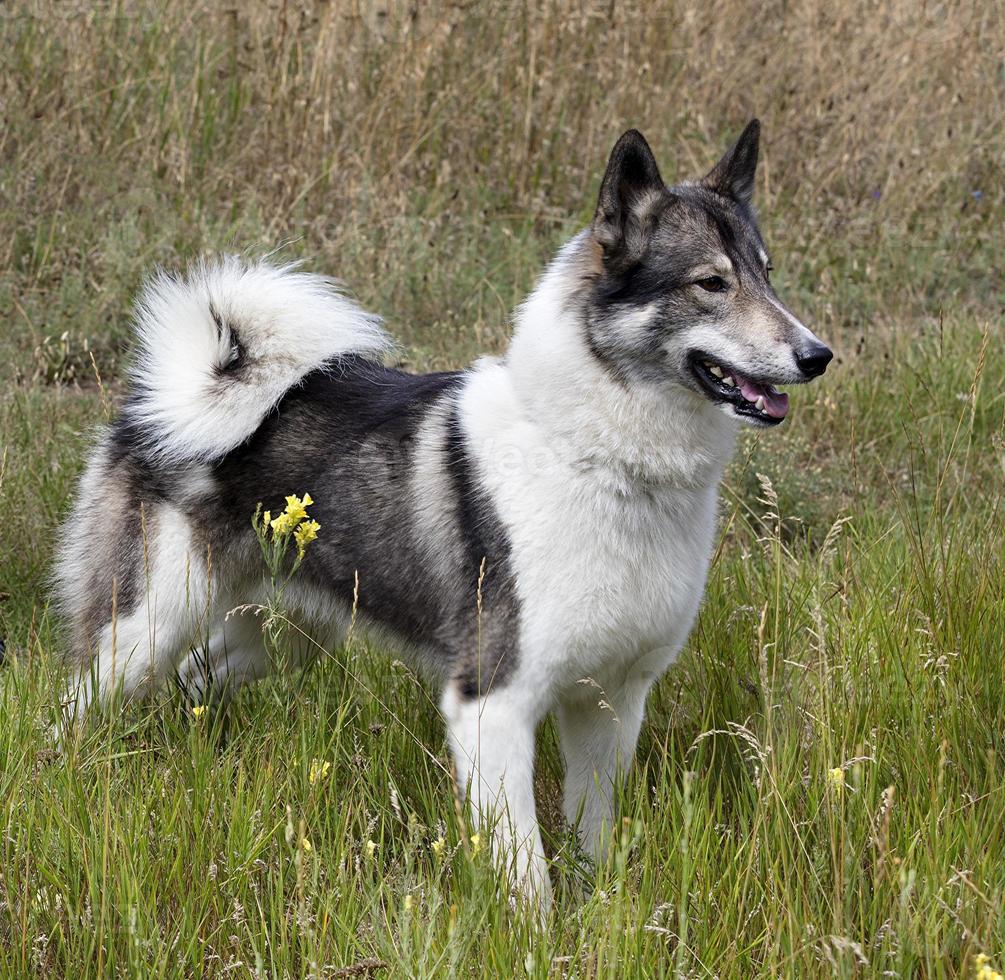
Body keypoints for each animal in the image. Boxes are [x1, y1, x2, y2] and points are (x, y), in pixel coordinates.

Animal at [53, 120, 832, 904]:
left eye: (766, 274)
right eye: (710, 283)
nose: (817, 355)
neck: (599, 460)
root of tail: (166, 396)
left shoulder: (610, 702)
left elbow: (593, 835)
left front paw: (600, 911)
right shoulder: (492, 705)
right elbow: (526, 870)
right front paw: (535, 928)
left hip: (278, 639)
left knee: (195, 679)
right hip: (143, 627)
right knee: (73, 704)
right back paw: (60, 773)